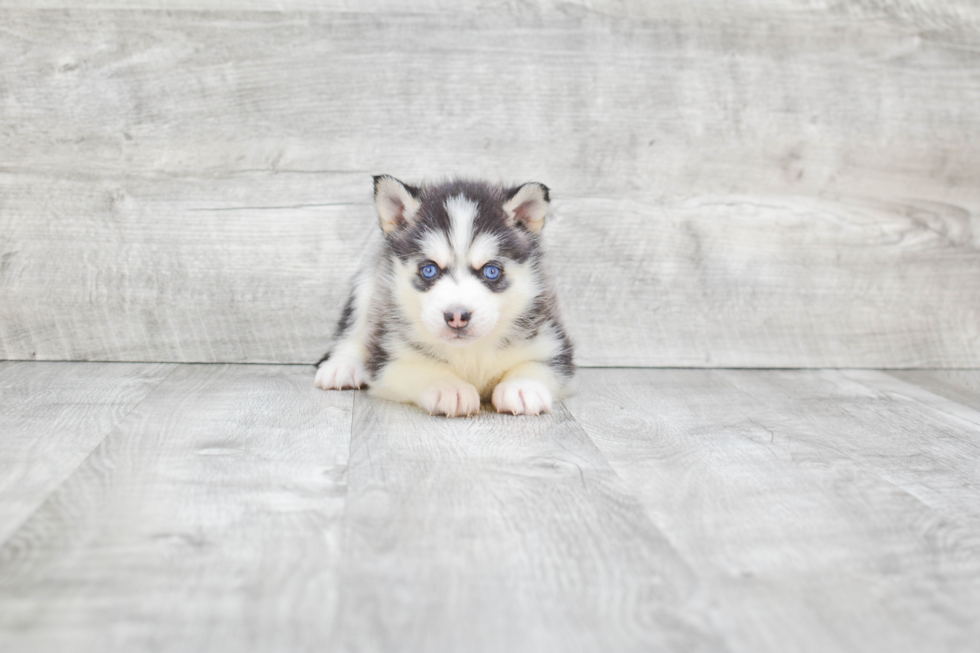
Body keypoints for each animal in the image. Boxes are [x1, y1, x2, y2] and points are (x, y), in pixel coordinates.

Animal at [314, 174, 576, 418]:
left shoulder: (553, 342)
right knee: (352, 332)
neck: (469, 353)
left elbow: (536, 364)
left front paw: (522, 387)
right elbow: (421, 368)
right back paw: (341, 367)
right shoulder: (387, 357)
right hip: (367, 286)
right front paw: (450, 388)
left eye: (491, 271)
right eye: (429, 270)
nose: (457, 316)